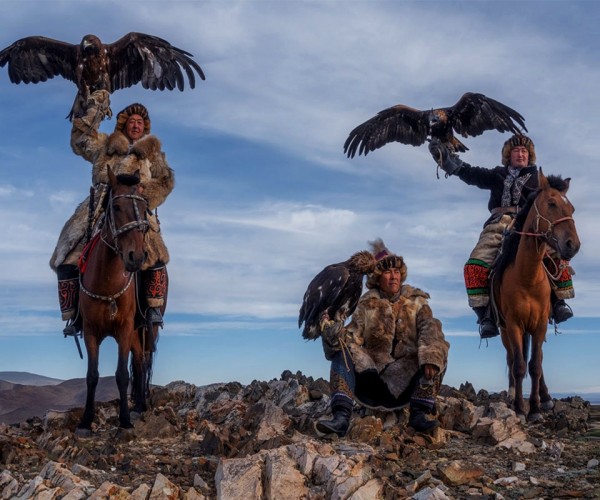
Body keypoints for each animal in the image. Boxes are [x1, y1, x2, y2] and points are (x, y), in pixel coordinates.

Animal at [77, 168, 159, 434]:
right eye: (116, 207)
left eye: (144, 208)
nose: (137, 257)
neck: (107, 282)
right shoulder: (91, 331)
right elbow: (92, 375)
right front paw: (86, 420)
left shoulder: (124, 329)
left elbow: (122, 374)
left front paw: (124, 419)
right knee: (140, 362)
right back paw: (138, 405)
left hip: (145, 329)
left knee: (142, 362)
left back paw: (139, 406)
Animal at [494, 171, 580, 422]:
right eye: (551, 204)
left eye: (571, 208)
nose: (573, 245)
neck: (528, 277)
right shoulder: (514, 325)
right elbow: (520, 366)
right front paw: (519, 408)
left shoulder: (540, 324)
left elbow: (535, 365)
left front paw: (534, 408)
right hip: (505, 330)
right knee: (512, 358)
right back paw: (512, 395)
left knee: (536, 361)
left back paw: (546, 397)